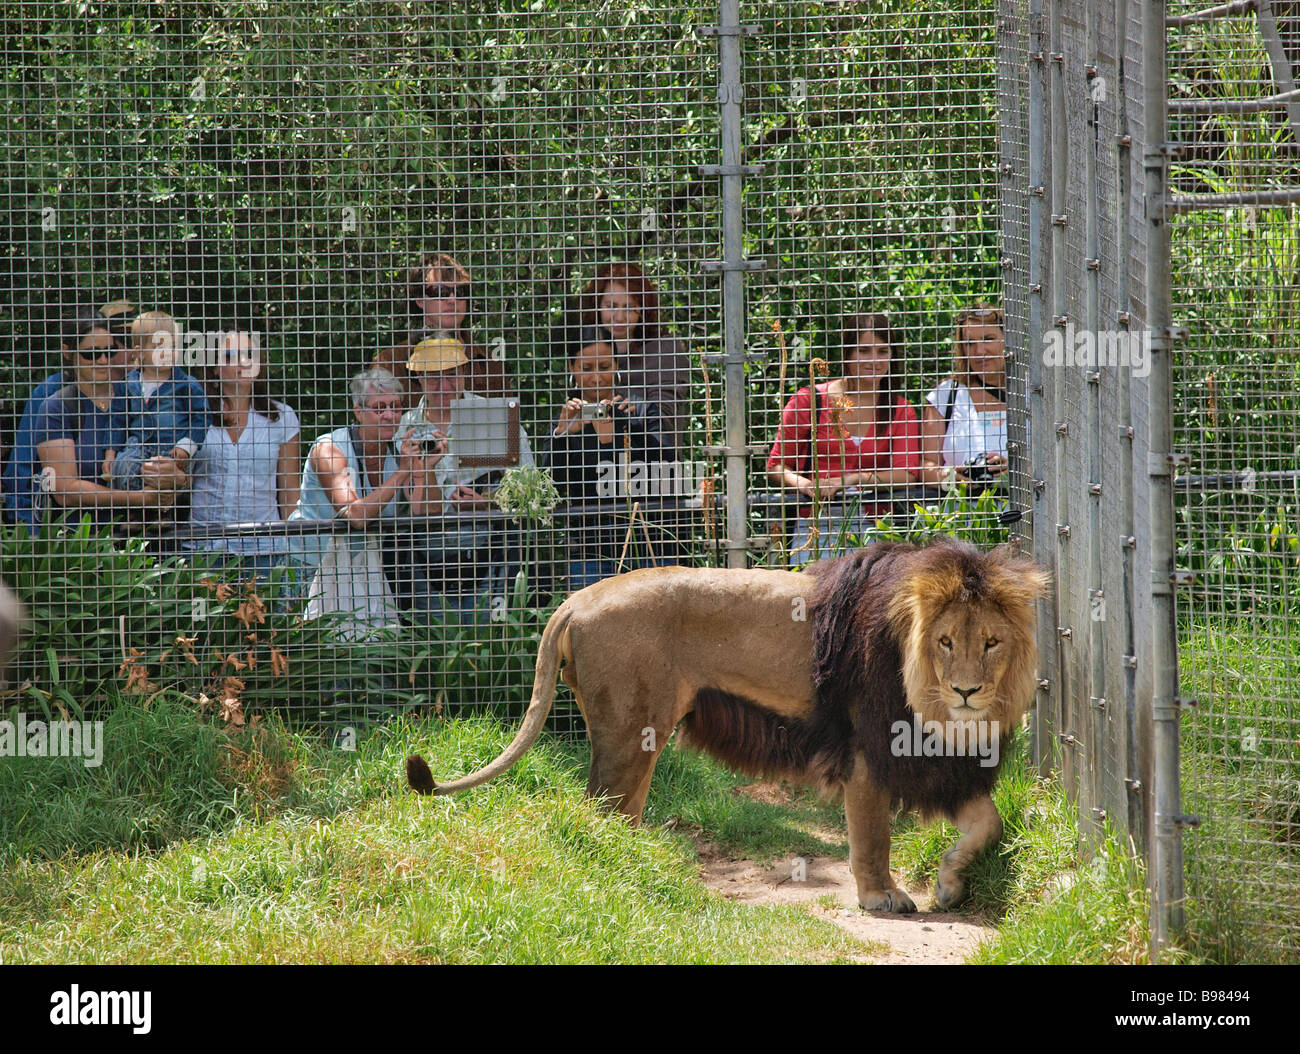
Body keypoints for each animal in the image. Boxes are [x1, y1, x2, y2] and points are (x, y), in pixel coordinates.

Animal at [410, 540, 1050, 909]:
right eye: (945, 642)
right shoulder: (870, 753)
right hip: (630, 733)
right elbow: (873, 838)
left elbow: (989, 825)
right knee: (600, 810)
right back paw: (624, 869)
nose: (967, 691)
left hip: (636, 737)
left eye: (991, 643)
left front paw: (949, 884)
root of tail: (575, 601)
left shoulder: (941, 765)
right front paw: (882, 898)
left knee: (616, 810)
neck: (936, 708)